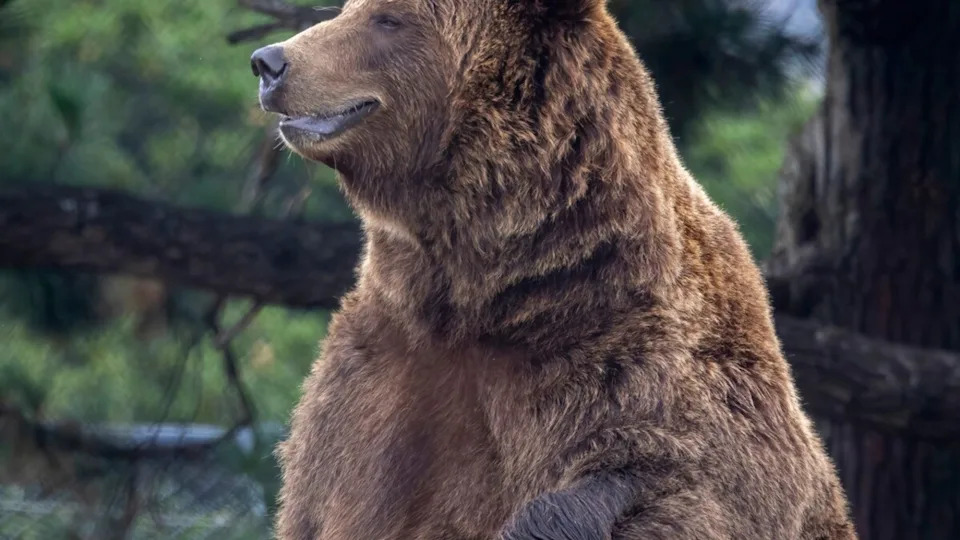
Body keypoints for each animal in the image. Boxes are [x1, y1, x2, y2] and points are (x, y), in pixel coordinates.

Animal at [250, 0, 855, 538]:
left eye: (388, 18)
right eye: (346, 8)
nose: (269, 61)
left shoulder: (632, 366)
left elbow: (671, 482)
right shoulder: (373, 386)